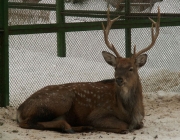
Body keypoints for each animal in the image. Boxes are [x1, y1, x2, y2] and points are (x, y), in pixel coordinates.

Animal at [16, 7, 160, 133]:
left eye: (131, 68)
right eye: (115, 67)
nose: (118, 79)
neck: (131, 111)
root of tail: (20, 109)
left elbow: (140, 124)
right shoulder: (97, 114)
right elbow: (124, 125)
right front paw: (117, 129)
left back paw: (80, 127)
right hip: (58, 102)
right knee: (28, 122)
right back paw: (69, 127)